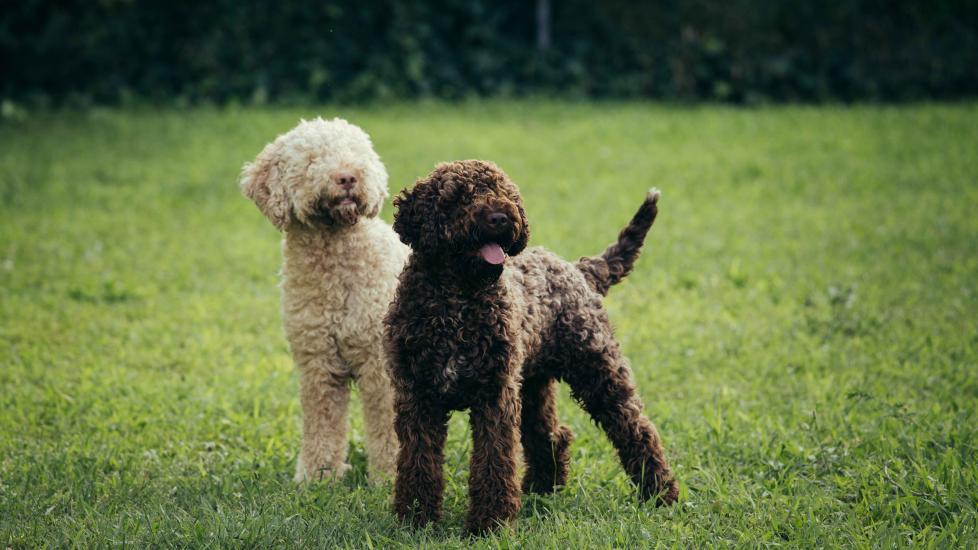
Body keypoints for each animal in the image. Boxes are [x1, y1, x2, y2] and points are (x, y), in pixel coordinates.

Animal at [386, 160, 676, 536]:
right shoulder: (418, 398)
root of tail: (577, 269)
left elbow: (494, 461)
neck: (456, 301)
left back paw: (660, 493)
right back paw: (542, 490)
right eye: (461, 195)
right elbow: (419, 463)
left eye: (505, 192)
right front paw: (416, 520)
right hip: (533, 387)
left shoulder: (494, 398)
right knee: (552, 436)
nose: (501, 217)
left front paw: (490, 525)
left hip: (599, 374)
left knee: (637, 431)